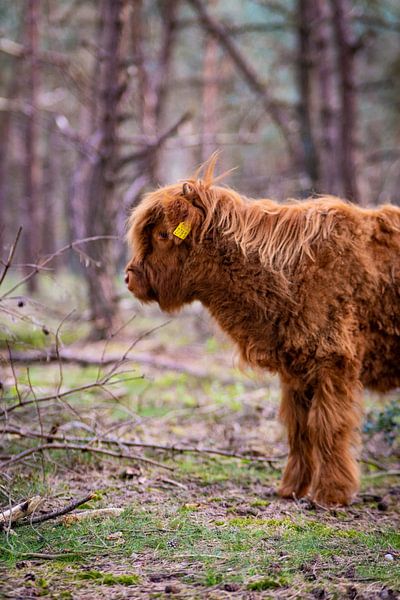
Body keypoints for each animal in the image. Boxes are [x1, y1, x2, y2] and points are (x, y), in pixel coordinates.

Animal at [126, 156, 400, 506]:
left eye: (162, 234)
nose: (130, 277)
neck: (288, 274)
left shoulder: (333, 362)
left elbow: (327, 426)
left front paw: (331, 494)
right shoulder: (297, 370)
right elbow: (299, 429)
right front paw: (291, 488)